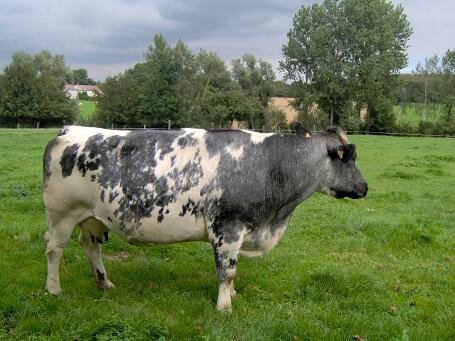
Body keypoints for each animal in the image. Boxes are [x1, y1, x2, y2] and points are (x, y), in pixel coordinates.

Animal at [42, 124, 368, 310]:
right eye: (349, 158)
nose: (365, 187)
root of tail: (68, 130)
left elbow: (232, 271)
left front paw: (232, 297)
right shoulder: (229, 228)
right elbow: (227, 271)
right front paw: (224, 307)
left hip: (92, 217)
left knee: (90, 246)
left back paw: (104, 283)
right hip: (62, 214)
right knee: (54, 250)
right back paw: (54, 289)